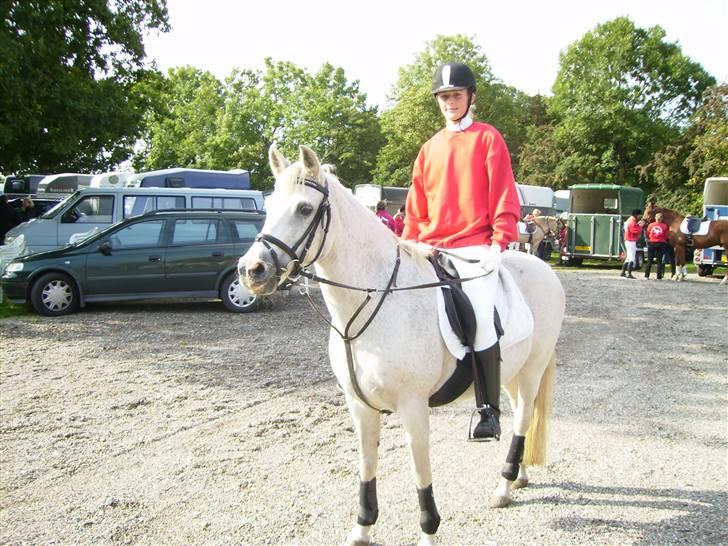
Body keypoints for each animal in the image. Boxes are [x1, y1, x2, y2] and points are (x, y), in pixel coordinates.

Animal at [239, 145, 565, 546]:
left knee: (522, 417)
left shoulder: (414, 408)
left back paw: (504, 486)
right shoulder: (360, 407)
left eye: (303, 208)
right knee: (522, 409)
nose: (251, 270)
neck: (375, 300)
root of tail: (543, 267)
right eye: (268, 206)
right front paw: (361, 529)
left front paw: (428, 531)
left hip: (533, 369)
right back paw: (518, 476)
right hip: (511, 374)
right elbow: (366, 467)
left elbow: (421, 476)